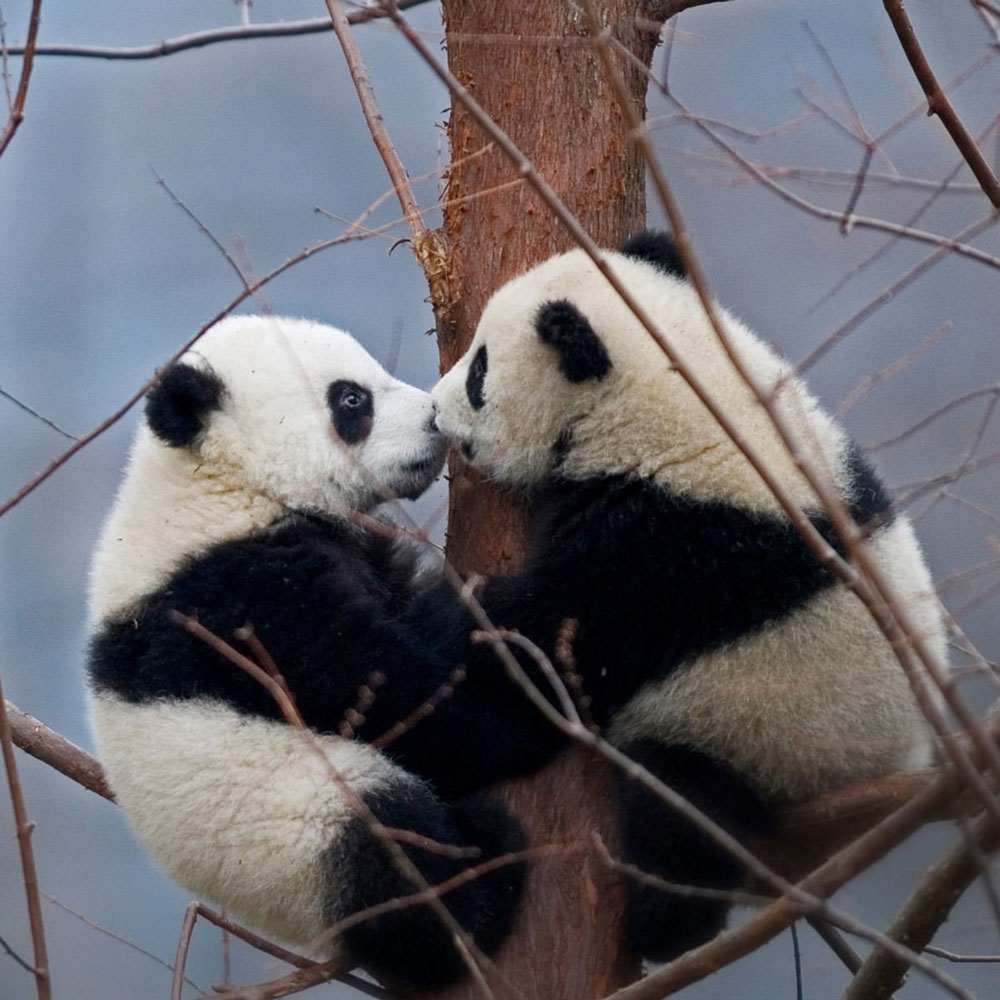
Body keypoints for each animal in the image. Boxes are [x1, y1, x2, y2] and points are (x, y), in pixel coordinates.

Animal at [86, 315, 530, 989]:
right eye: (351, 400)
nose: (435, 417)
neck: (221, 486)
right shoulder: (239, 602)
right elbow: (397, 696)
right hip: (300, 831)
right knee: (388, 852)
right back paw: (482, 880)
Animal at [430, 232, 946, 961]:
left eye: (478, 374)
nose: (431, 409)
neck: (672, 387)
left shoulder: (670, 544)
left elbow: (547, 636)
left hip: (762, 745)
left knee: (685, 810)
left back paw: (661, 923)